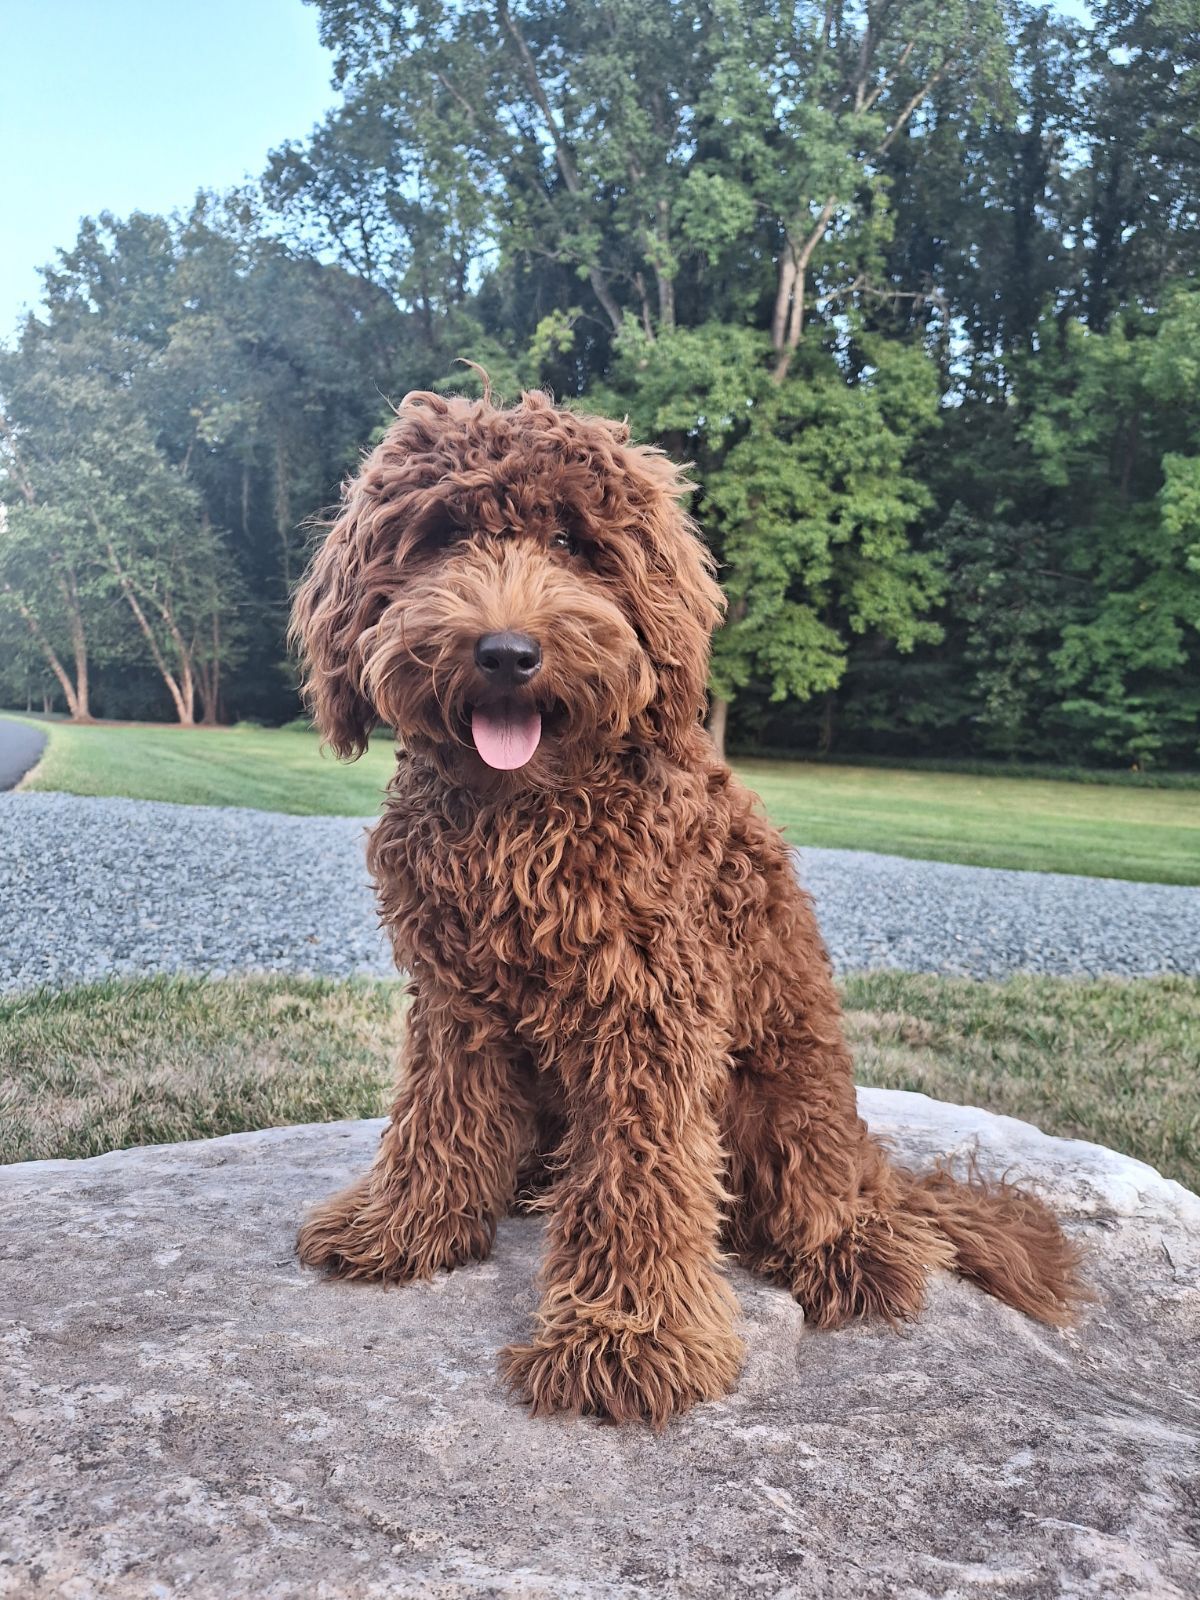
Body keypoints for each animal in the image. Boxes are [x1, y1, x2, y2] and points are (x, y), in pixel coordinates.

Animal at [290, 388, 1084, 1425]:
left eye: (571, 540)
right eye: (442, 536)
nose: (506, 652)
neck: (523, 810)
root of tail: (873, 1172)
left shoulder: (649, 1005)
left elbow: (643, 1174)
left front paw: (628, 1337)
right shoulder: (456, 996)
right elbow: (439, 1113)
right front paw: (403, 1226)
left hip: (786, 1107)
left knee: (843, 1217)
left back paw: (847, 1256)